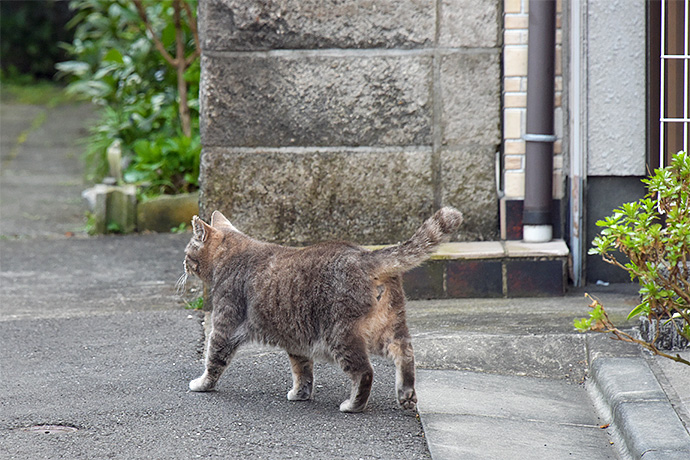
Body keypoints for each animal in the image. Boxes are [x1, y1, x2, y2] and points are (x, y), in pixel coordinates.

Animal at [180, 207, 462, 412]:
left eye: (187, 251)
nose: (182, 262)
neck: (230, 256)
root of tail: (364, 255)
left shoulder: (224, 327)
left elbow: (213, 360)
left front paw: (202, 384)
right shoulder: (296, 342)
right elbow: (303, 372)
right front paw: (300, 394)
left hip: (341, 335)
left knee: (365, 372)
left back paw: (353, 405)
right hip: (388, 328)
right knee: (405, 353)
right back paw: (406, 395)